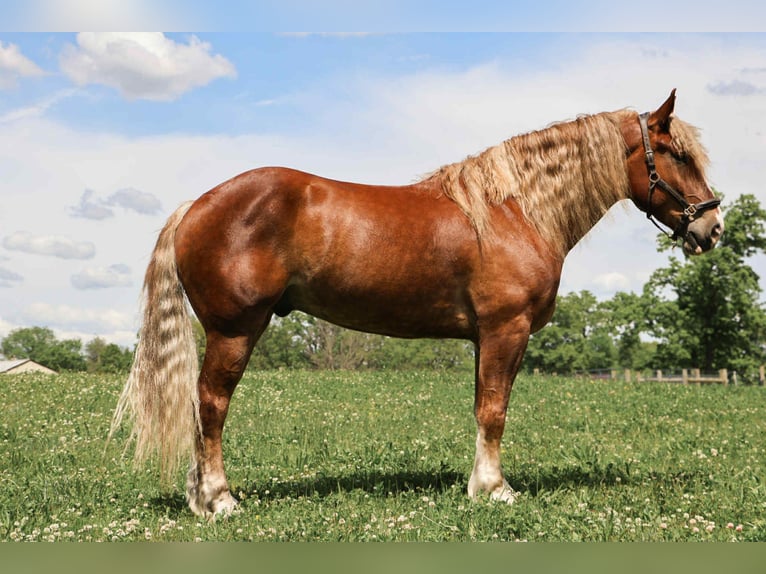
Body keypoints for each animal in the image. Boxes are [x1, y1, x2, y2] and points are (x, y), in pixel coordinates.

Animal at [111, 90, 723, 518]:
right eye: (674, 154)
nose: (713, 228)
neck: (515, 210)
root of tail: (196, 205)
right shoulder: (506, 330)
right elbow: (494, 411)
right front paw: (495, 490)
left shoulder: (486, 338)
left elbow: (482, 409)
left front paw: (478, 484)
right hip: (236, 330)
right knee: (211, 405)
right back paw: (218, 499)